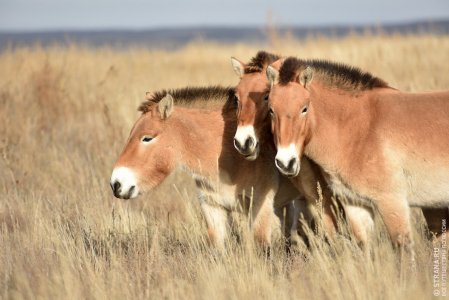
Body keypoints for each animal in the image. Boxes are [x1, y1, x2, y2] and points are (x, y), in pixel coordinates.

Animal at [264, 55, 448, 251]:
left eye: (304, 108)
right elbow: (364, 246)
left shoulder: (393, 203)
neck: (361, 129)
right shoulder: (355, 204)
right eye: (271, 110)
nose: (286, 163)